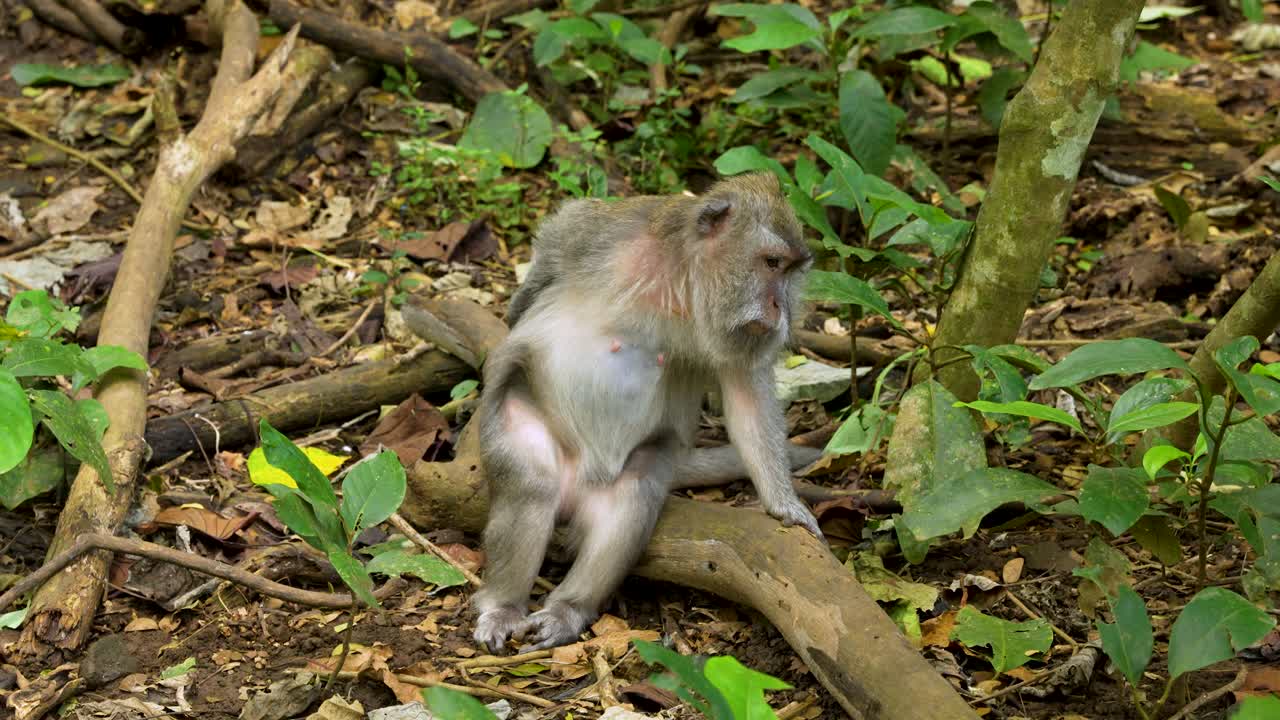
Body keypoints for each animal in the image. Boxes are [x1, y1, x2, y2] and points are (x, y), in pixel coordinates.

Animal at [472, 172, 823, 653]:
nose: (778, 310)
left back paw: (569, 610)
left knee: (632, 495)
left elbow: (746, 393)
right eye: (772, 263)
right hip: (524, 421)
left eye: (790, 272)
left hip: (624, 473)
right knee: (531, 484)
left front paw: (784, 504)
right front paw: (518, 308)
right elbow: (558, 240)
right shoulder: (611, 231)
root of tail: (578, 480)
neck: (683, 282)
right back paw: (503, 607)